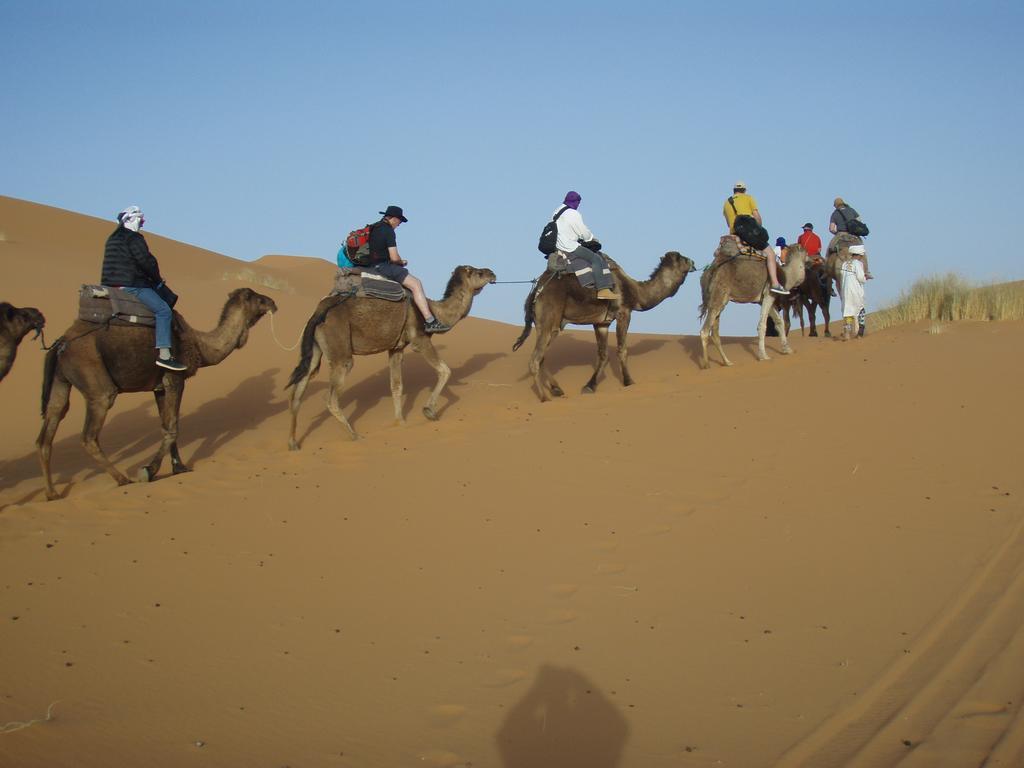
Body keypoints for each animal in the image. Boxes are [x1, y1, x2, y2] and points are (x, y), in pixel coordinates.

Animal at [37, 286, 276, 499]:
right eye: (257, 298)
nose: (273, 302)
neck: (200, 346)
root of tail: (61, 343)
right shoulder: (175, 379)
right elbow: (173, 428)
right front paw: (148, 471)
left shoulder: (159, 387)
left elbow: (166, 426)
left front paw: (179, 468)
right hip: (95, 380)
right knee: (89, 435)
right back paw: (123, 479)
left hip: (61, 382)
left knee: (50, 427)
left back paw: (52, 493)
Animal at [286, 266, 497, 448]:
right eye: (478, 272)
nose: (492, 273)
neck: (436, 311)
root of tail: (319, 311)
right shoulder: (419, 339)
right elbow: (445, 370)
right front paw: (429, 411)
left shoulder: (396, 348)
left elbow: (396, 386)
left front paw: (400, 423)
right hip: (339, 347)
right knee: (331, 396)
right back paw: (354, 435)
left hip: (316, 349)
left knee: (300, 388)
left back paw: (293, 443)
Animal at [512, 252, 696, 403]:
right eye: (683, 258)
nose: (694, 262)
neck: (635, 291)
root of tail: (536, 291)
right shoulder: (624, 312)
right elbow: (622, 350)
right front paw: (629, 382)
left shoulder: (601, 323)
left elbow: (603, 355)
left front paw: (589, 386)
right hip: (549, 320)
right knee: (535, 359)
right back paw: (544, 398)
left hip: (545, 324)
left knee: (542, 356)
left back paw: (557, 389)